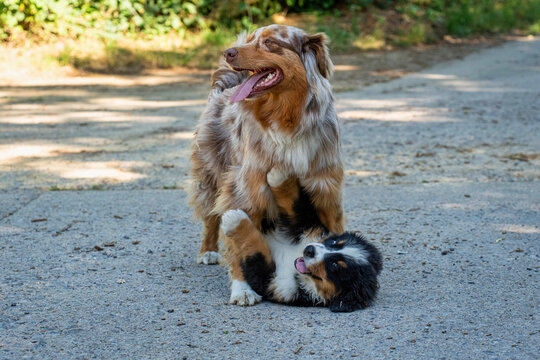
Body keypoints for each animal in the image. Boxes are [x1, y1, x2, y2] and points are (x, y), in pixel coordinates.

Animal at [192, 24, 346, 298]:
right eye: (251, 39)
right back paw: (207, 251)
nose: (228, 52)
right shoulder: (249, 189)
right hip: (211, 172)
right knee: (210, 215)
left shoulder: (325, 187)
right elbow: (241, 243)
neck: (286, 119)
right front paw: (243, 289)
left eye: (270, 42)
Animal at [217, 169, 382, 312]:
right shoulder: (307, 226)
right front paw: (279, 176)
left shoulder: (273, 282)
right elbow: (296, 205)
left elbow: (258, 250)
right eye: (334, 243)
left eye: (335, 266)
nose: (309, 250)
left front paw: (234, 219)